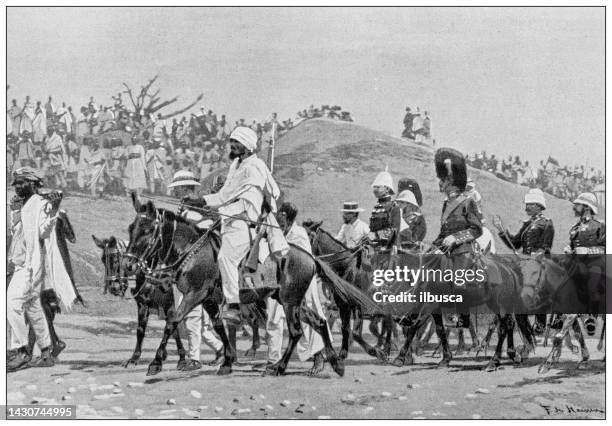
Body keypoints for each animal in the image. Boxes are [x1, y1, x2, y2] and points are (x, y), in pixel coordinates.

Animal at [123, 194, 376, 376]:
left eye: (147, 230)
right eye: (130, 228)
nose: (129, 264)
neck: (194, 250)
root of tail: (310, 257)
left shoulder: (196, 294)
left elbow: (173, 321)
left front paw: (155, 362)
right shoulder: (210, 300)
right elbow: (219, 327)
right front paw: (227, 361)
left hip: (289, 302)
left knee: (296, 331)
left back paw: (281, 367)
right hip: (290, 300)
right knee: (319, 322)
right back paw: (334, 363)